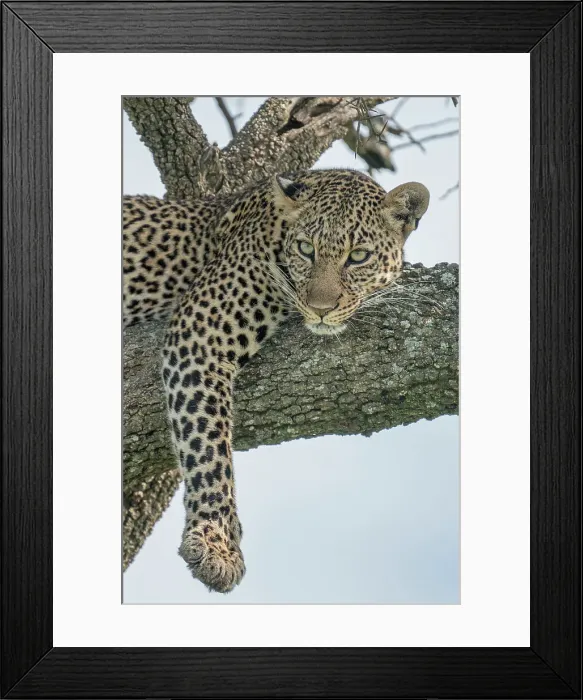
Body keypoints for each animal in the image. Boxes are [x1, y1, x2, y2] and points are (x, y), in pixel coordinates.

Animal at [123, 169, 430, 593]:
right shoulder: (197, 332)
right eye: (305, 248)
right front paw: (217, 545)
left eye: (358, 256)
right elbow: (208, 445)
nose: (320, 309)